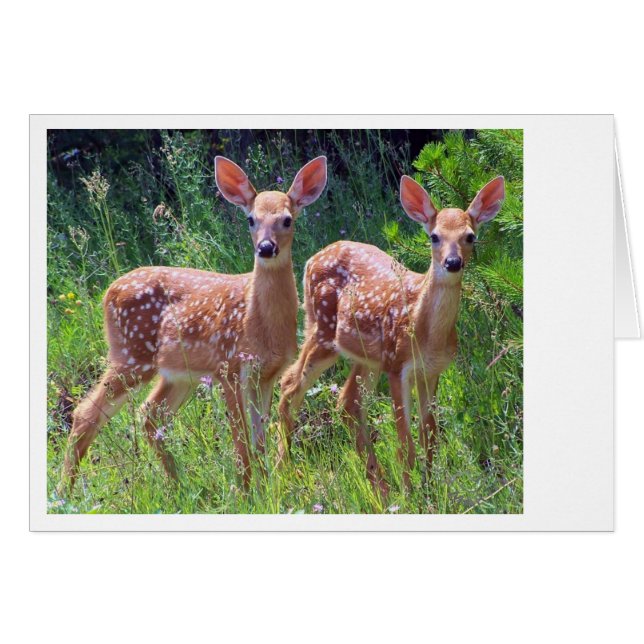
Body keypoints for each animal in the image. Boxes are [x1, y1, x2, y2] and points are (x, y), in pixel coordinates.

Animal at [60, 155, 328, 491]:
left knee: (150, 414)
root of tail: (109, 291)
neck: (259, 323)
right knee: (87, 413)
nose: (266, 248)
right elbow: (241, 440)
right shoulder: (229, 366)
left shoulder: (266, 374)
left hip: (178, 373)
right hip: (132, 356)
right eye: (251, 219)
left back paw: (180, 486)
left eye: (287, 220)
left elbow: (259, 440)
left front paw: (266, 489)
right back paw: (65, 492)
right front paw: (247, 491)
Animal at [278, 174, 504, 496]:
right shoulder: (398, 366)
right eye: (434, 236)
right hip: (323, 331)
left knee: (347, 402)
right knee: (290, 385)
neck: (427, 334)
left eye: (470, 236)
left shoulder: (431, 371)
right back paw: (282, 470)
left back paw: (378, 486)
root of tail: (311, 259)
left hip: (368, 357)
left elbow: (429, 436)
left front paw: (429, 488)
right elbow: (404, 443)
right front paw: (411, 494)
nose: (452, 263)